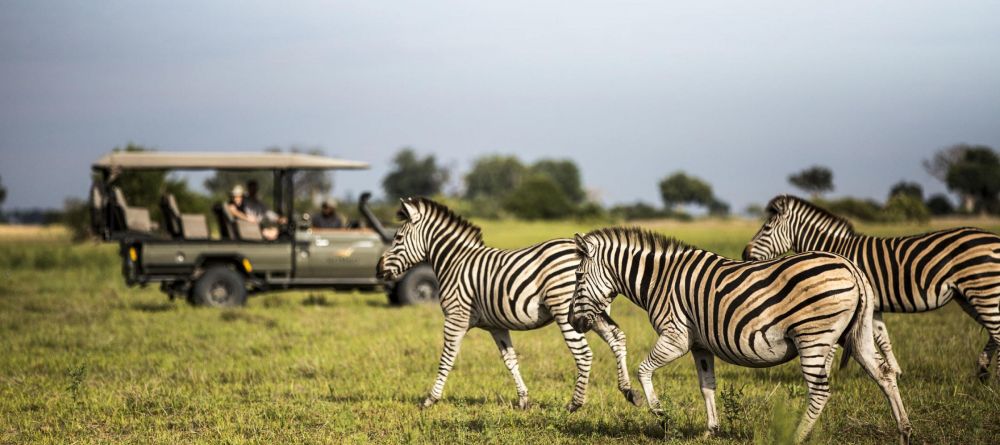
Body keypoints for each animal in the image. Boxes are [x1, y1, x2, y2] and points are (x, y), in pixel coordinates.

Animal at [376, 196, 640, 412]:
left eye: (397, 238)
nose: (378, 270)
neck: (455, 262)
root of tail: (585, 251)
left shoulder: (455, 317)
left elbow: (447, 359)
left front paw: (430, 399)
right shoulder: (497, 326)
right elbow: (510, 360)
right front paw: (523, 400)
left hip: (567, 312)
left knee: (584, 354)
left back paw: (575, 404)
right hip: (591, 312)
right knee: (617, 338)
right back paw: (629, 392)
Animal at [568, 227, 912, 442]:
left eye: (579, 276)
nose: (573, 321)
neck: (659, 280)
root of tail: (849, 265)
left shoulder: (676, 336)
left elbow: (643, 370)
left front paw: (658, 411)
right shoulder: (700, 345)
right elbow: (707, 387)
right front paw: (711, 430)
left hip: (813, 336)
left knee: (820, 391)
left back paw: (796, 436)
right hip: (855, 333)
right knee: (883, 374)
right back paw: (904, 431)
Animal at [744, 194, 1000, 378]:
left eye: (766, 229)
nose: (744, 254)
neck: (836, 250)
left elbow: (835, 344)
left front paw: (824, 372)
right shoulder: (873, 305)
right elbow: (883, 339)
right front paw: (896, 372)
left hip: (983, 291)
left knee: (996, 330)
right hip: (968, 296)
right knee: (993, 331)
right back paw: (983, 368)